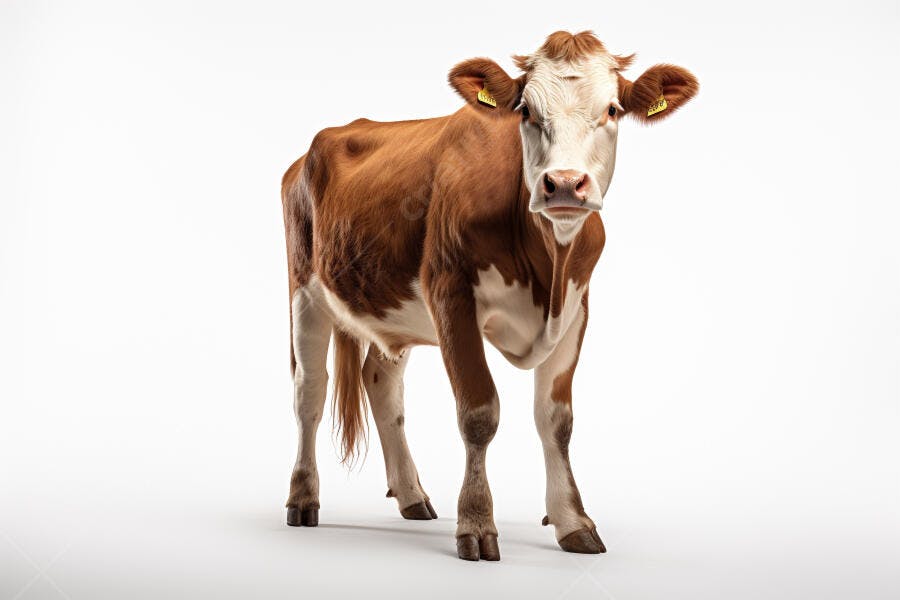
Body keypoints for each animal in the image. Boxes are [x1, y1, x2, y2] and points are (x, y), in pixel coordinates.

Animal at [281, 30, 698, 561]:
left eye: (612, 110)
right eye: (525, 111)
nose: (564, 184)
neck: (547, 266)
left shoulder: (577, 309)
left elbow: (556, 421)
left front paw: (572, 521)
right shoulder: (450, 295)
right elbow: (479, 412)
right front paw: (476, 523)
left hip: (390, 306)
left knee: (382, 383)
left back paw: (412, 496)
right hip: (304, 291)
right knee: (309, 393)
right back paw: (302, 498)